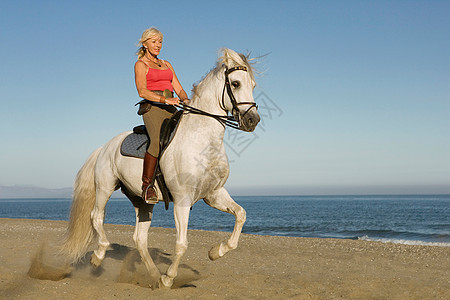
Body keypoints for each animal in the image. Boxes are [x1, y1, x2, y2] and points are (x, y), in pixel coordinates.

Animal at [61, 48, 262, 288]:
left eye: (253, 84)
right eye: (235, 83)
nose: (252, 120)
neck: (201, 141)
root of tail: (104, 147)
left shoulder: (214, 194)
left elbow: (241, 215)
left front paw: (216, 252)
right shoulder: (183, 200)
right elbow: (182, 243)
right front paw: (169, 278)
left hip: (142, 201)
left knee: (139, 238)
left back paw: (154, 274)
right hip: (105, 187)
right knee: (96, 217)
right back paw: (99, 256)